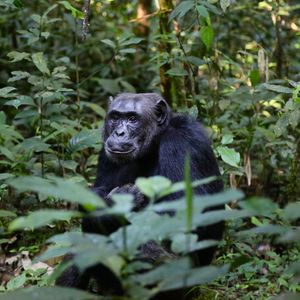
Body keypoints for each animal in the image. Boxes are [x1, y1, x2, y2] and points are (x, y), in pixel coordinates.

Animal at [57, 93, 224, 298]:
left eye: (132, 119)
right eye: (115, 117)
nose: (119, 133)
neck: (154, 144)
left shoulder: (182, 144)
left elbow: (184, 216)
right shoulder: (105, 152)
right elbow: (97, 193)